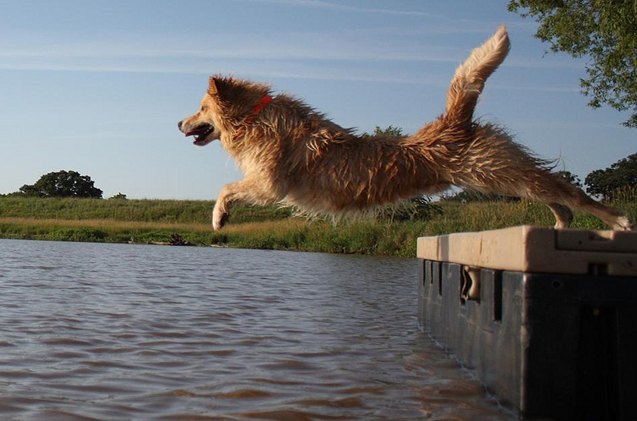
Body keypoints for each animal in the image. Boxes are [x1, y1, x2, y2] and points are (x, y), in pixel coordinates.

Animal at [178, 26, 632, 231]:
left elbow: (225, 188)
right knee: (553, 191)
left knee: (568, 190)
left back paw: (618, 220)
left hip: (495, 170)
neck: (256, 118)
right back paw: (562, 221)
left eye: (200, 108)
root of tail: (452, 122)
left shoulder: (269, 184)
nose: (178, 121)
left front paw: (219, 217)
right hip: (503, 176)